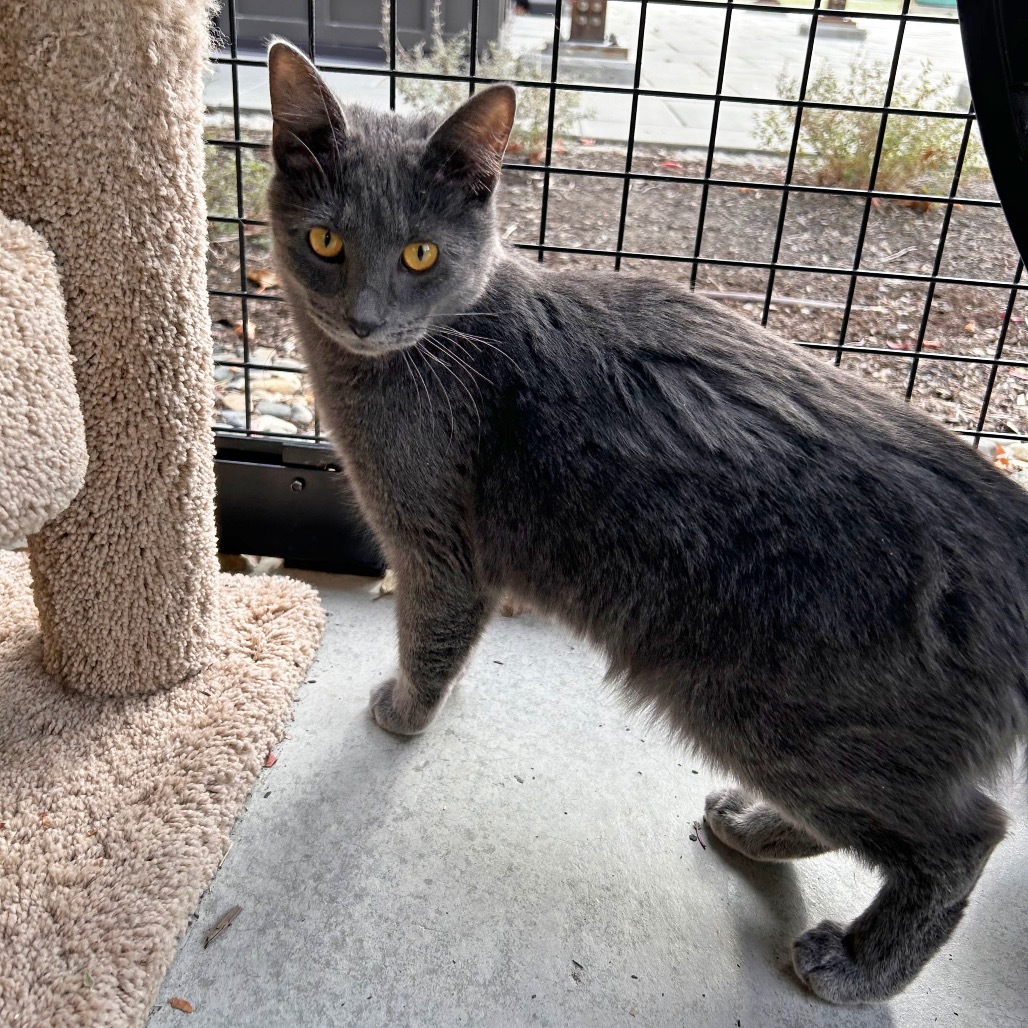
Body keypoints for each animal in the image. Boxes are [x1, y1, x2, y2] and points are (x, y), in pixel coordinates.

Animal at [265, 42, 1028, 1003]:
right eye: (326, 241)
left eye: (420, 252)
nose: (365, 320)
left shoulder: (438, 545)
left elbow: (428, 635)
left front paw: (403, 711)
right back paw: (753, 826)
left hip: (775, 706)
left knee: (964, 838)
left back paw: (856, 966)